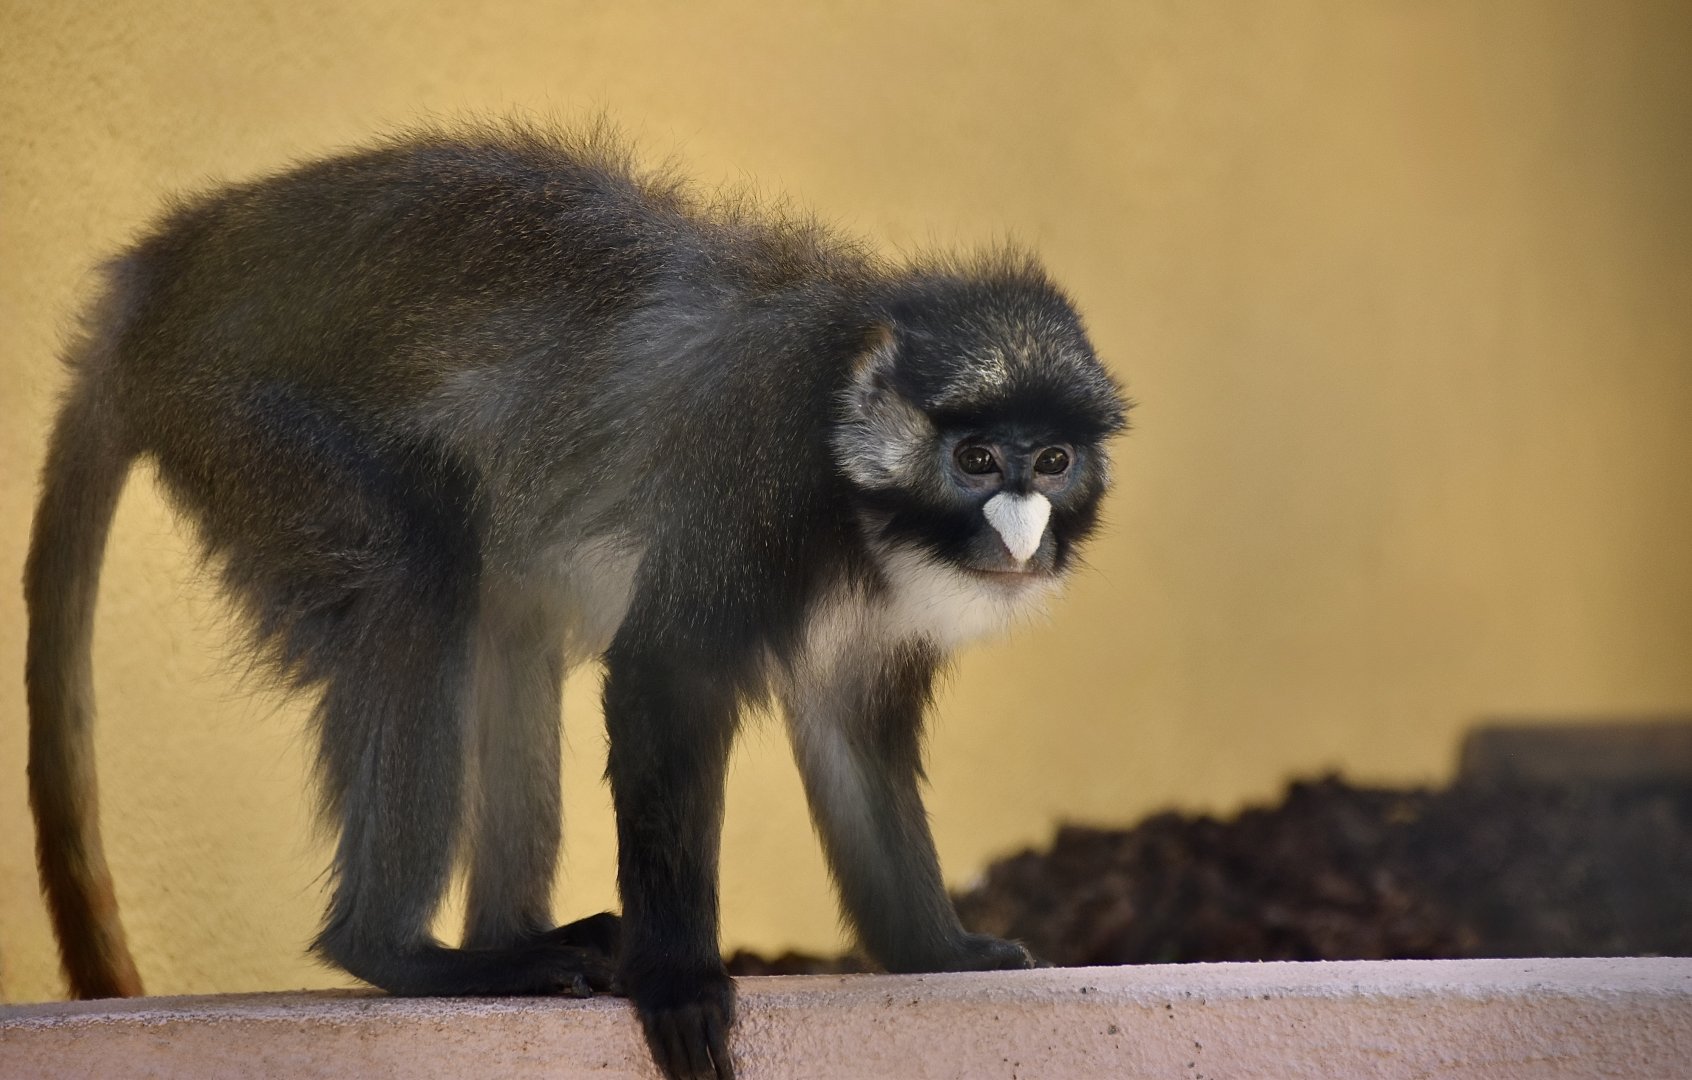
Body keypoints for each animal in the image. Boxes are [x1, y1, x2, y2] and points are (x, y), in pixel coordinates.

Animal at [24, 123, 1128, 1080]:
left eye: (1053, 460)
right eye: (976, 459)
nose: (1020, 531)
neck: (850, 478)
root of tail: (156, 283)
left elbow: (853, 736)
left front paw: (936, 950)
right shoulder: (750, 469)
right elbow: (663, 679)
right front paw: (679, 979)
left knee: (506, 626)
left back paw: (511, 941)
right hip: (244, 425)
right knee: (422, 572)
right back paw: (404, 952)